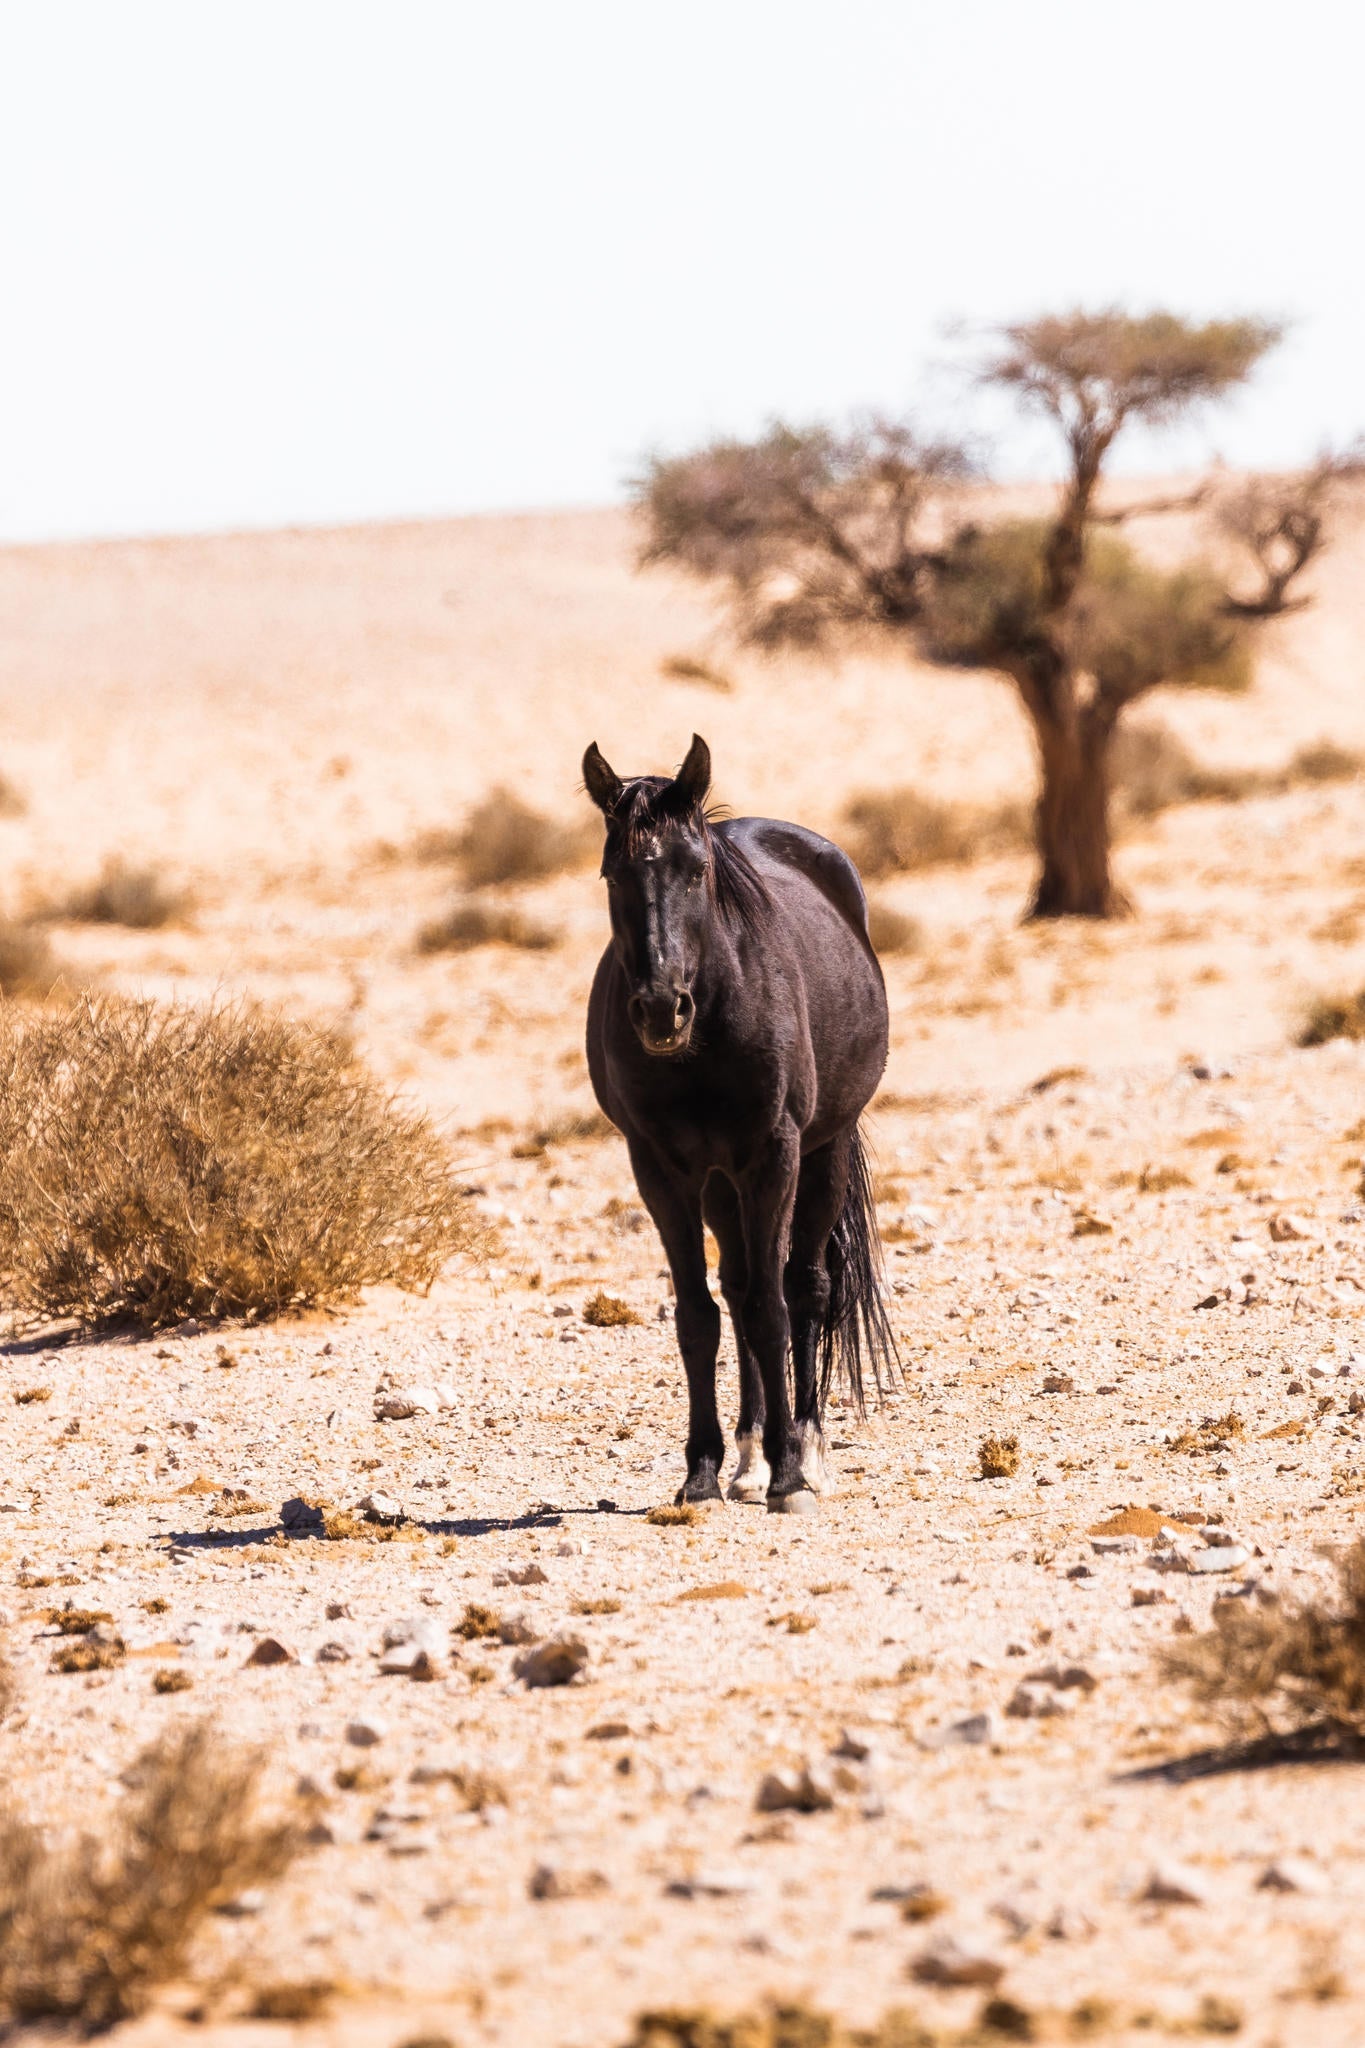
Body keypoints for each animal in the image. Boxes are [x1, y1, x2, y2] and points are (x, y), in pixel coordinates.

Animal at [582, 732, 896, 1514]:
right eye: (611, 872)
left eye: (696, 870)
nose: (661, 1009)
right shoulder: (659, 1167)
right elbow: (699, 1314)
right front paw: (701, 1471)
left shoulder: (773, 1153)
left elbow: (771, 1308)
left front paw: (789, 1474)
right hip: (721, 1183)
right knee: (737, 1282)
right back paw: (749, 1456)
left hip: (822, 1152)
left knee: (804, 1287)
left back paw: (804, 1451)